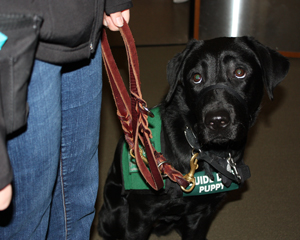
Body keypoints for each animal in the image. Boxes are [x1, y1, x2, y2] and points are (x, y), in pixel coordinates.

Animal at [98, 37, 288, 240]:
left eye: (239, 72)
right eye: (196, 77)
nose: (217, 121)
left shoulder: (200, 216)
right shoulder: (140, 217)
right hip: (113, 214)